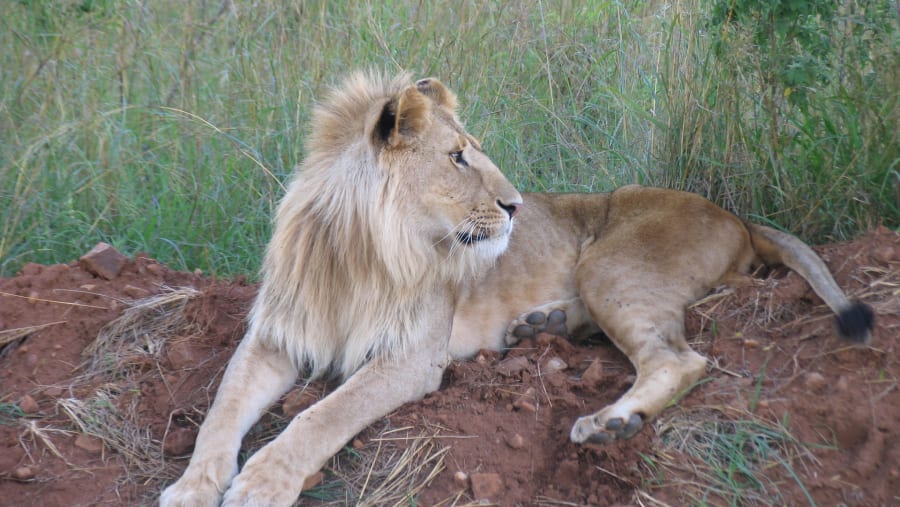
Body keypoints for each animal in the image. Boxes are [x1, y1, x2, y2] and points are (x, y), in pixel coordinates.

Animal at [160, 72, 873, 506]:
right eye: (456, 157)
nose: (516, 205)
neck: (358, 254)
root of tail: (736, 216)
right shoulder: (276, 336)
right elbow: (220, 413)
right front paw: (192, 488)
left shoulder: (412, 357)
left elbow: (322, 414)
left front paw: (262, 482)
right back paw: (544, 326)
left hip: (608, 265)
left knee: (680, 358)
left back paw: (612, 421)